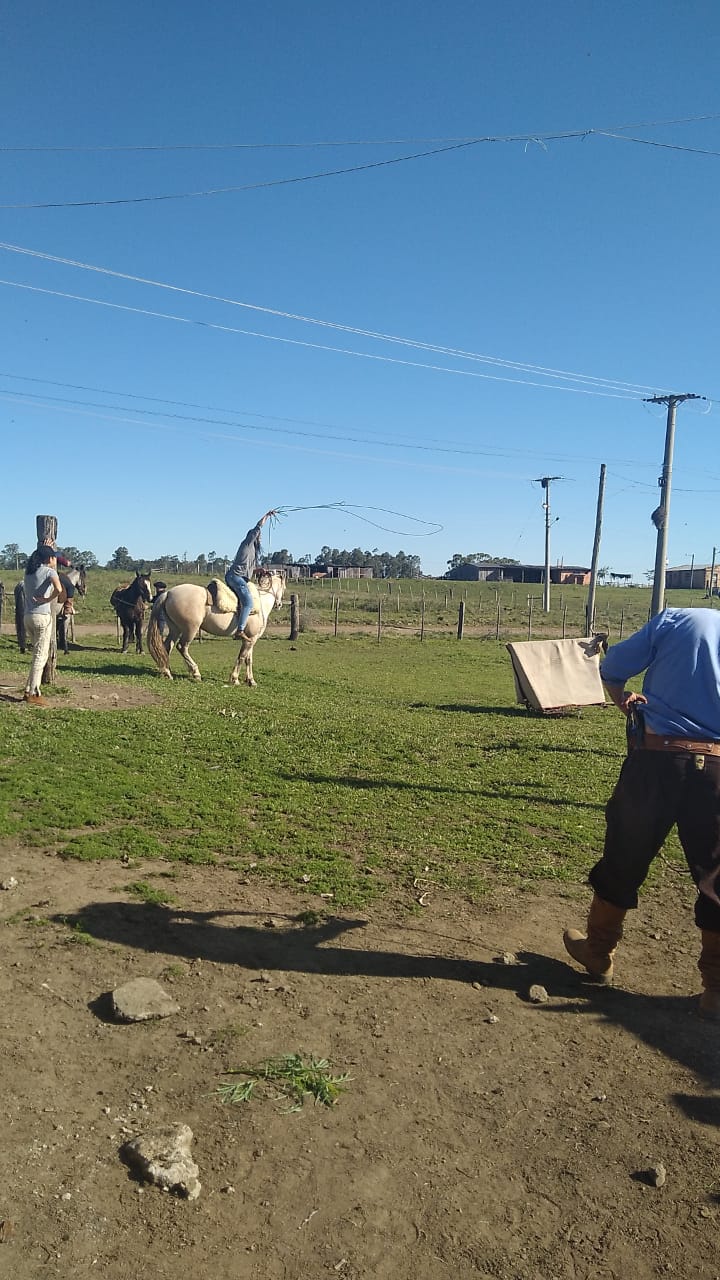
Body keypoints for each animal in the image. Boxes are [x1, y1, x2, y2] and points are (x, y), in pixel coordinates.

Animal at [146, 573, 285, 686]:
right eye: (284, 588)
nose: (279, 605)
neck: (260, 603)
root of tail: (168, 593)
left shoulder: (251, 639)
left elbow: (248, 659)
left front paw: (251, 681)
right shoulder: (250, 639)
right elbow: (241, 657)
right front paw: (235, 679)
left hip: (176, 630)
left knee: (167, 647)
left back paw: (167, 672)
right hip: (190, 629)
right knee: (182, 647)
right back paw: (195, 673)